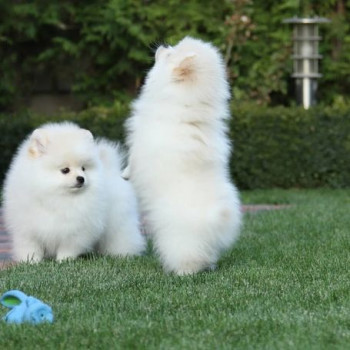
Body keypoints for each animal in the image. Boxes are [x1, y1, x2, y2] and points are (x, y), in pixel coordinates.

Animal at [3, 121, 145, 262]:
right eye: (65, 170)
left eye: (83, 168)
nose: (81, 178)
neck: (56, 198)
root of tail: (112, 170)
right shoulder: (27, 229)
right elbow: (30, 247)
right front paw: (31, 261)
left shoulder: (76, 230)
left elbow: (68, 247)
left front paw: (63, 260)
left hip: (119, 223)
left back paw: (121, 254)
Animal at [124, 37, 242, 274]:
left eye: (170, 55)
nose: (163, 46)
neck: (186, 105)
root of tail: (217, 215)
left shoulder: (141, 143)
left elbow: (132, 159)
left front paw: (125, 173)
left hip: (180, 239)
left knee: (187, 256)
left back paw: (183, 272)